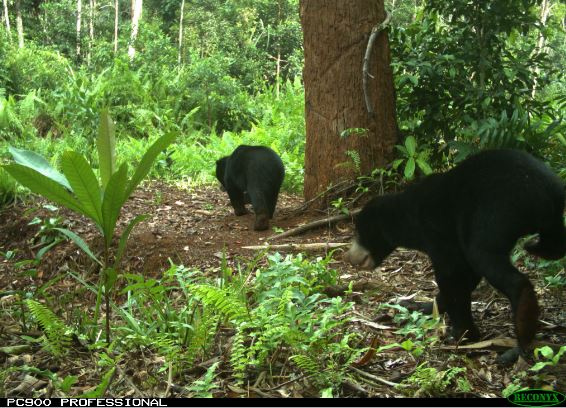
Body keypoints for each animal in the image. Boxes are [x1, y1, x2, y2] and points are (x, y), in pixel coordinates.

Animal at [346, 149, 566, 364]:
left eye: (360, 231)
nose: (349, 257)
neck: (408, 219)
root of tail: (546, 189)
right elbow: (465, 276)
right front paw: (417, 305)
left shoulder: (438, 233)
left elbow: (452, 276)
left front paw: (463, 334)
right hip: (548, 218)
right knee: (554, 244)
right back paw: (534, 246)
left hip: (500, 209)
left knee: (490, 261)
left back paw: (519, 345)